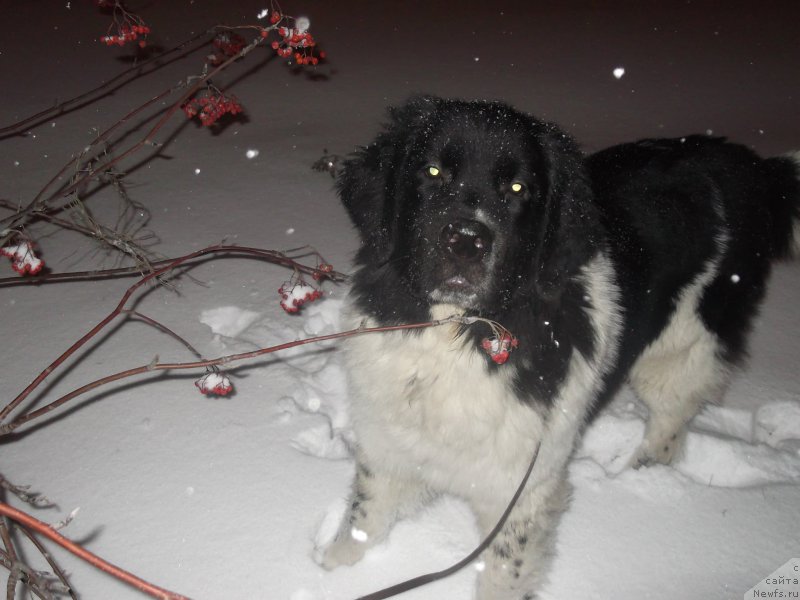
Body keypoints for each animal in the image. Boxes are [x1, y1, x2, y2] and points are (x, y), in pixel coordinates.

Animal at [320, 96, 800, 596]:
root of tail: (745, 163)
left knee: (669, 421)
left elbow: (505, 571)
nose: (467, 241)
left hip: (684, 343)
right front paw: (333, 570)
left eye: (517, 188)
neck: (457, 332)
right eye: (432, 172)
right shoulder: (392, 441)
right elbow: (365, 514)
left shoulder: (522, 487)